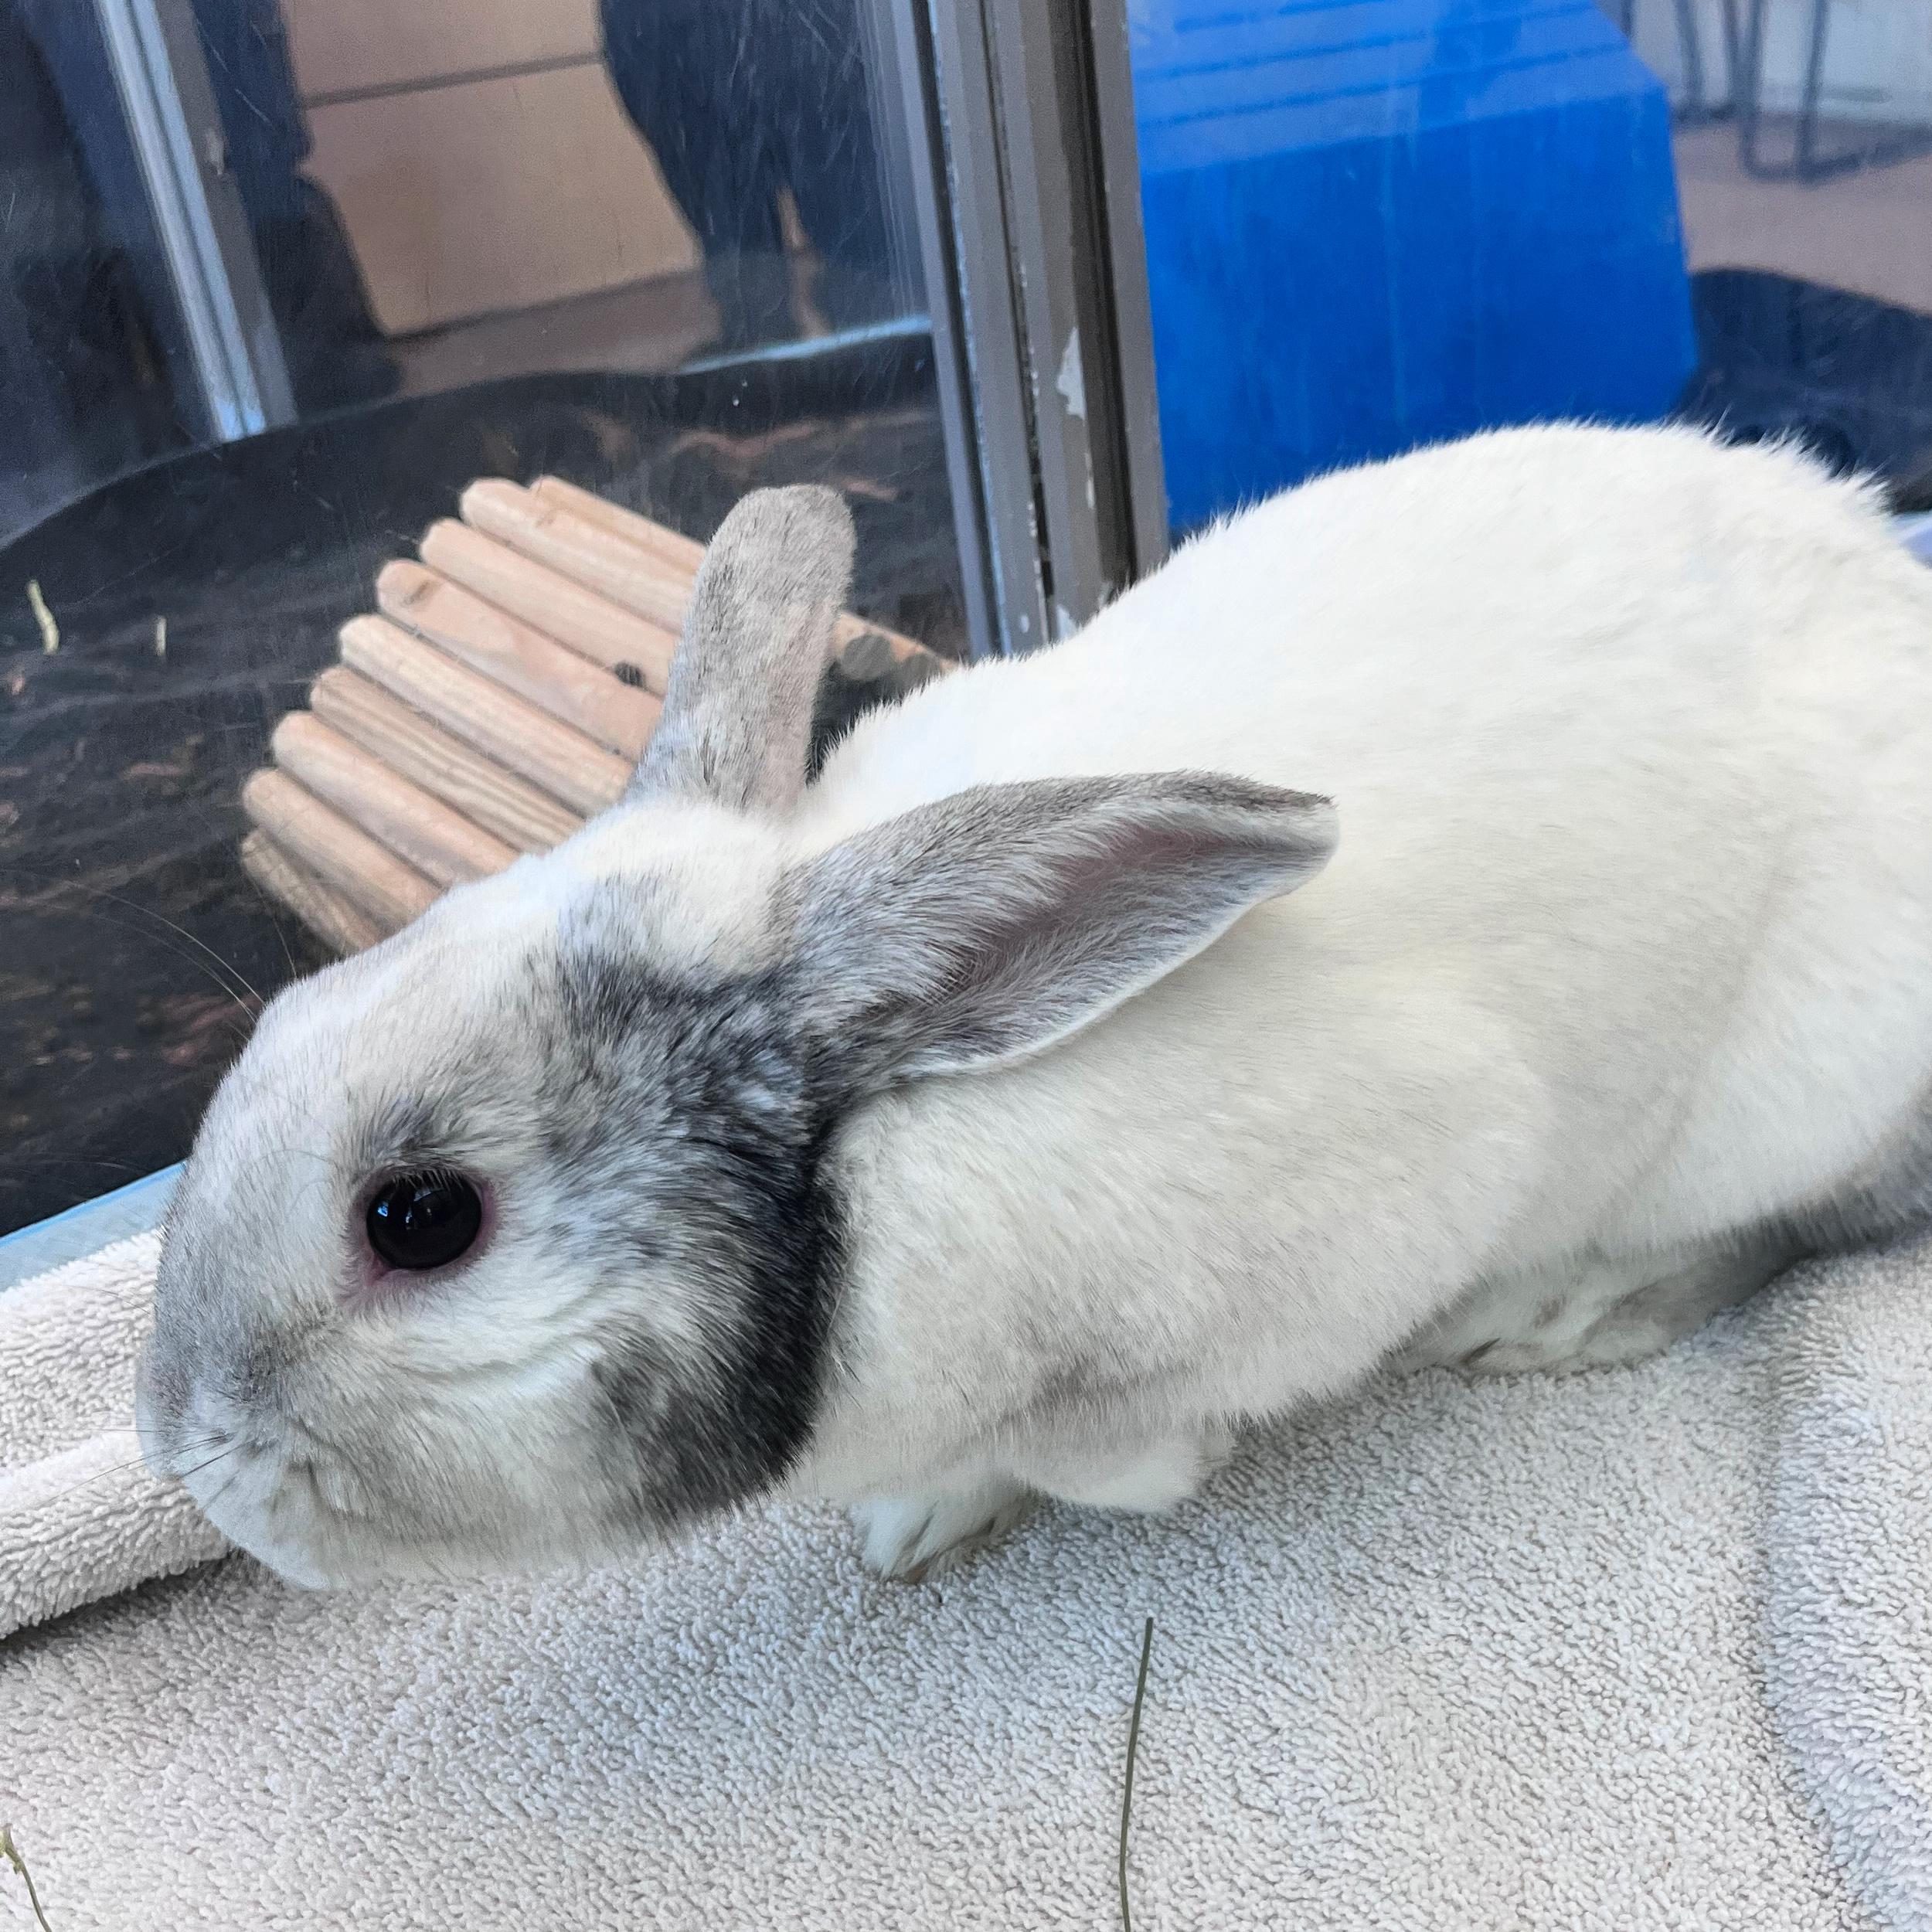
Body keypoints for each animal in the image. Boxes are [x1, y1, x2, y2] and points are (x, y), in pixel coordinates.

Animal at [139, 421, 1932, 1588]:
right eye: (279, 1026)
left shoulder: (1392, 1203)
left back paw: (1565, 1310)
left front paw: (1114, 1478)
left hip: (1786, 1093)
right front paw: (918, 1521)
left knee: (1787, 1229)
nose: (181, 1451)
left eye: (422, 1217)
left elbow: (1118, 1449)